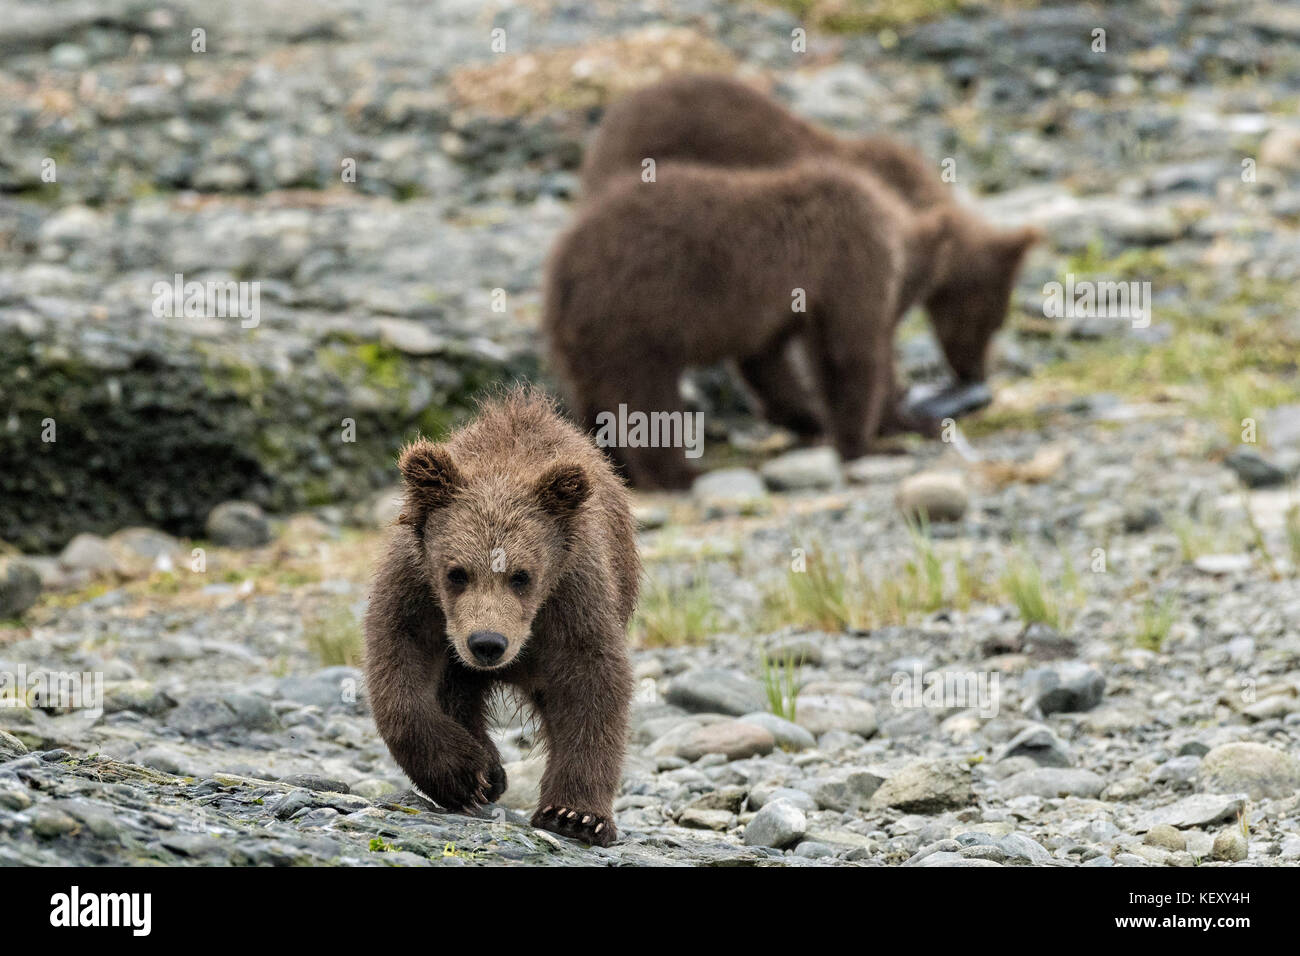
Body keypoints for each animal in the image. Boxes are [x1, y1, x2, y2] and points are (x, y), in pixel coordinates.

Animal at [364, 390, 637, 842]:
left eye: (521, 576)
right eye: (457, 573)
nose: (487, 643)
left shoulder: (572, 598)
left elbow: (591, 683)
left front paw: (576, 815)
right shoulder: (418, 590)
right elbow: (399, 667)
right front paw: (462, 774)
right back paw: (489, 771)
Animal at [543, 160, 951, 489]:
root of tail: (563, 271)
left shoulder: (780, 310)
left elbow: (768, 364)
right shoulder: (845, 260)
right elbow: (847, 354)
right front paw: (868, 442)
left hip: (586, 342)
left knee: (595, 400)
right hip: (636, 320)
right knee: (646, 399)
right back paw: (682, 473)